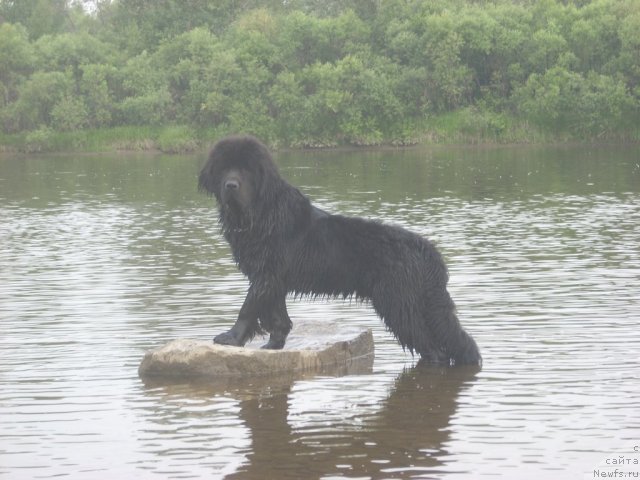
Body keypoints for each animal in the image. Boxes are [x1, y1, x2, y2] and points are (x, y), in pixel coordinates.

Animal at [199, 133, 480, 366]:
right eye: (224, 168)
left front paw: (232, 338)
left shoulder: (266, 275)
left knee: (434, 348)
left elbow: (247, 308)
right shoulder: (272, 279)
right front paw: (273, 345)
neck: (261, 214)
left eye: (246, 170)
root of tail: (428, 251)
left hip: (398, 305)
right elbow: (277, 316)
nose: (231, 185)